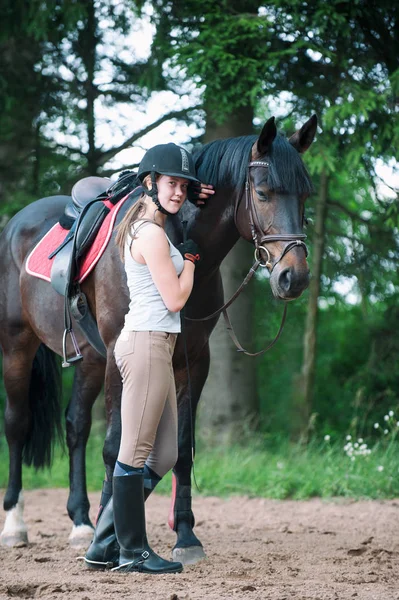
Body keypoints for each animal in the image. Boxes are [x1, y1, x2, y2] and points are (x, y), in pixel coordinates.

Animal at [0, 113, 318, 564]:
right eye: (263, 192)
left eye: (305, 194)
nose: (295, 277)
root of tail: (16, 222)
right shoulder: (121, 354)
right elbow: (116, 446)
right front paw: (114, 540)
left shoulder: (193, 362)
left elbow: (180, 448)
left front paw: (185, 535)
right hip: (17, 346)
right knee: (17, 424)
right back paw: (16, 524)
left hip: (90, 360)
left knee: (76, 426)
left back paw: (81, 523)